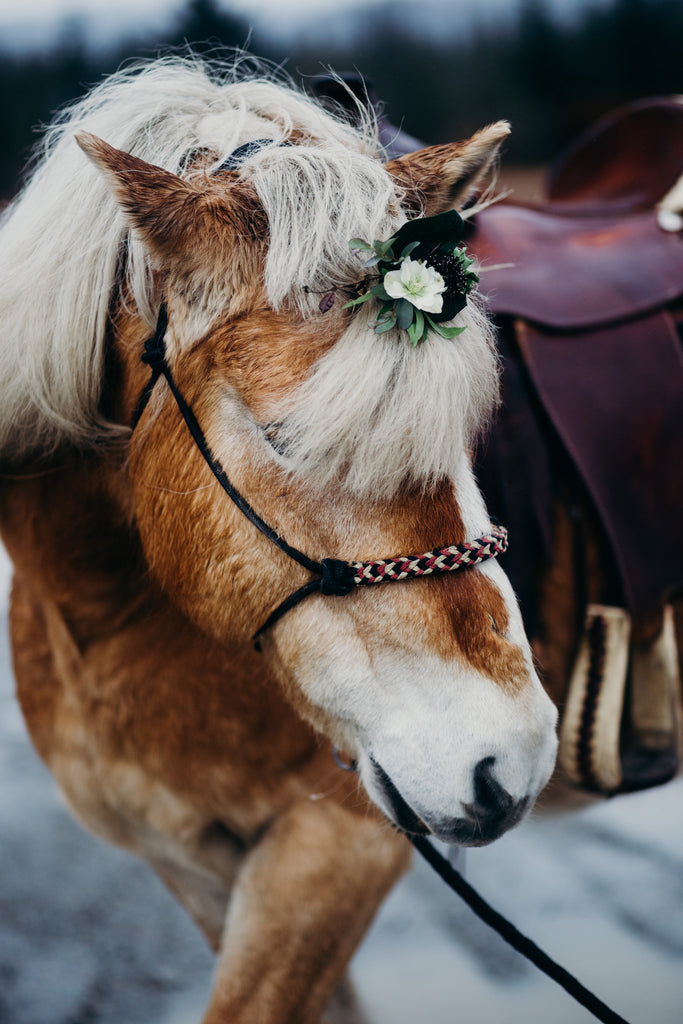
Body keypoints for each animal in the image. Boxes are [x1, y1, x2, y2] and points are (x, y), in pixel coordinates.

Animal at [0, 61, 557, 1024]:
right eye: (285, 438)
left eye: (462, 434)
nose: (508, 762)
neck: (102, 620)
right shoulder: (193, 864)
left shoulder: (336, 847)